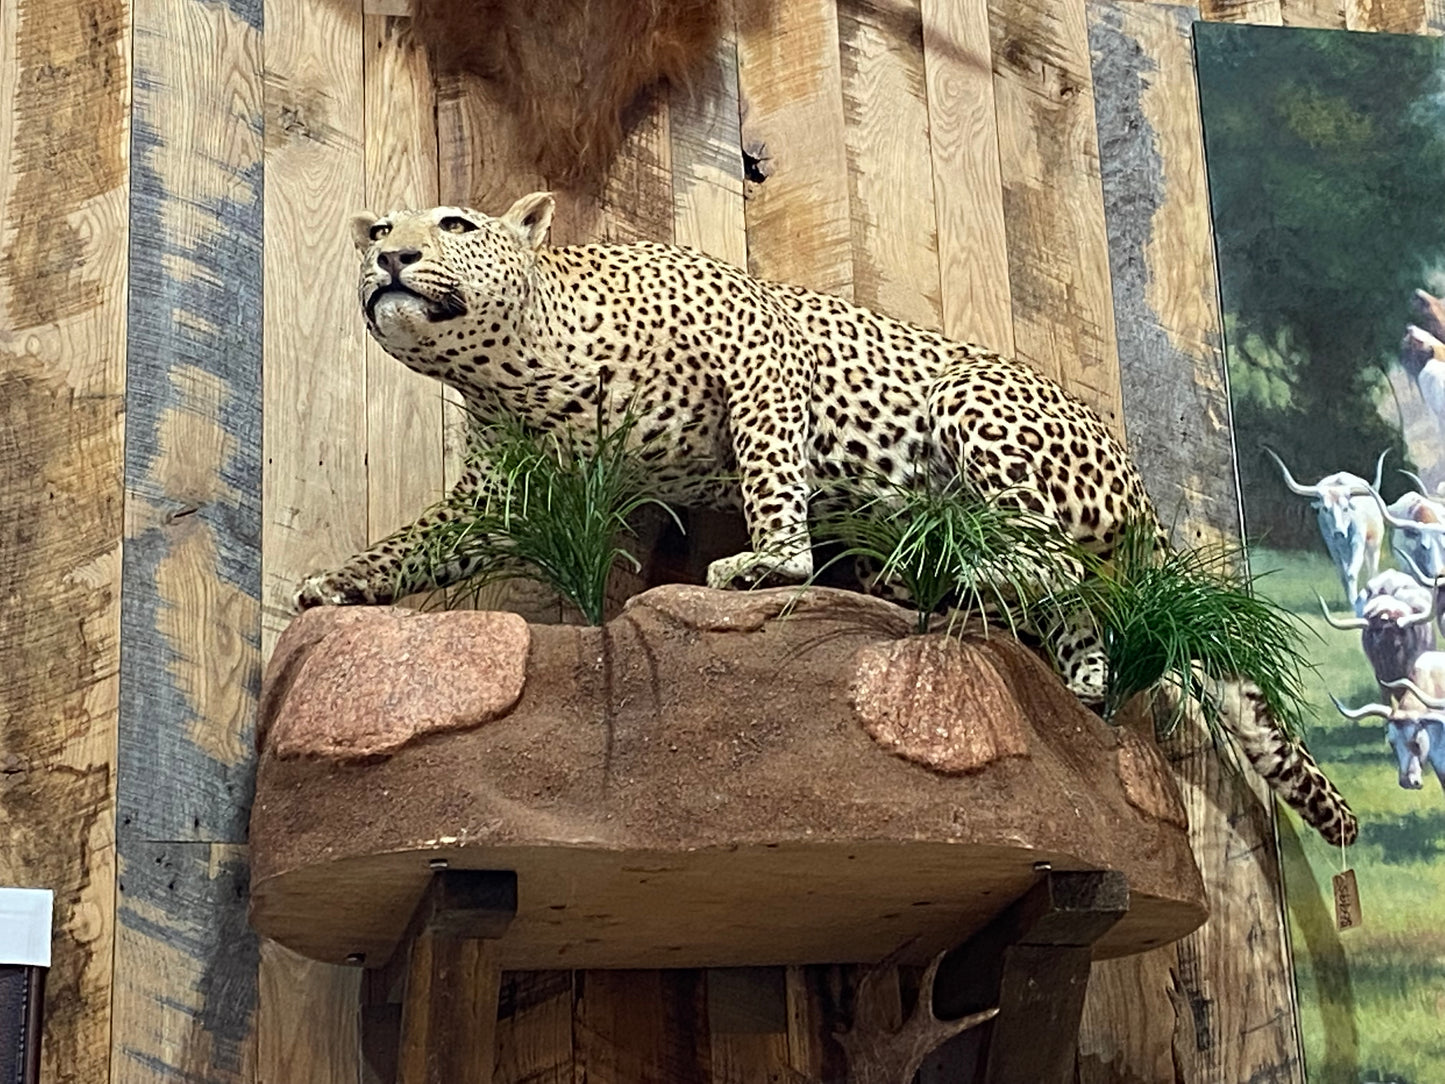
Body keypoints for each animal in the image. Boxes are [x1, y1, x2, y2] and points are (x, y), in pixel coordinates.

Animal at [293, 190, 1352, 849]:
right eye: (379, 224)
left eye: (453, 222)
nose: (388, 255)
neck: (513, 371)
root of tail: (1138, 477)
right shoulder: (496, 495)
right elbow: (411, 544)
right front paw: (333, 583)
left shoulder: (757, 353)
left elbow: (771, 470)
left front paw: (770, 563)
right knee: (1075, 600)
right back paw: (1076, 676)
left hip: (972, 407)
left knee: (1046, 563)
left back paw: (922, 577)